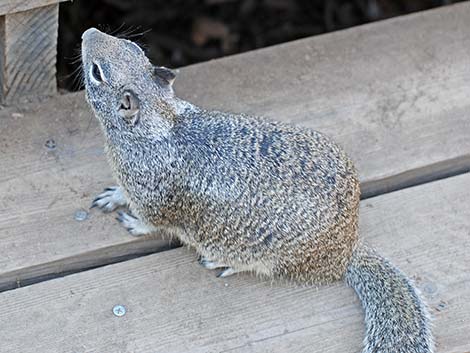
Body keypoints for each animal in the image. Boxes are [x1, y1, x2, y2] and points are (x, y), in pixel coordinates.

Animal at [81, 28, 434, 352]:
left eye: (97, 72)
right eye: (132, 46)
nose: (88, 32)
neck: (161, 124)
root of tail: (346, 251)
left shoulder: (153, 199)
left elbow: (150, 223)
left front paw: (132, 222)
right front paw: (114, 195)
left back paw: (221, 263)